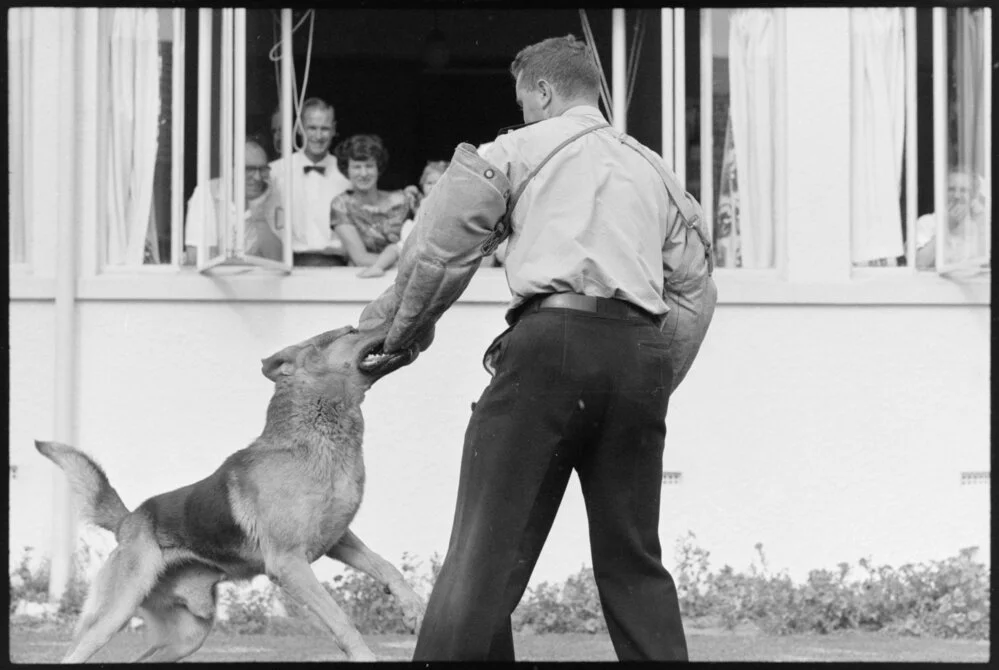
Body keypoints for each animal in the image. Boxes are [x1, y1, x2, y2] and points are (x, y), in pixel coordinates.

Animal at [35, 324, 424, 660]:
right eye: (352, 330)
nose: (401, 323)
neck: (317, 437)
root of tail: (130, 521)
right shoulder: (289, 564)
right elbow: (341, 619)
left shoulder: (339, 540)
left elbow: (387, 566)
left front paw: (413, 608)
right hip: (113, 615)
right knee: (74, 655)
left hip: (187, 637)